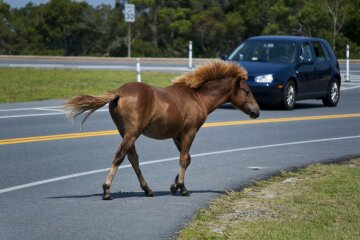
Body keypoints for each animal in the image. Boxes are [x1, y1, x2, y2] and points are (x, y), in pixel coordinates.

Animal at [64, 59, 260, 200]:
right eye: (247, 91)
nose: (256, 112)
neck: (197, 97)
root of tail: (119, 92)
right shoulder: (190, 132)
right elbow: (184, 159)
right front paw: (183, 188)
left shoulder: (177, 136)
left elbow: (187, 159)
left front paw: (174, 186)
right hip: (132, 133)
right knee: (120, 156)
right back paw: (106, 190)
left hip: (125, 132)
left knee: (132, 158)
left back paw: (148, 190)